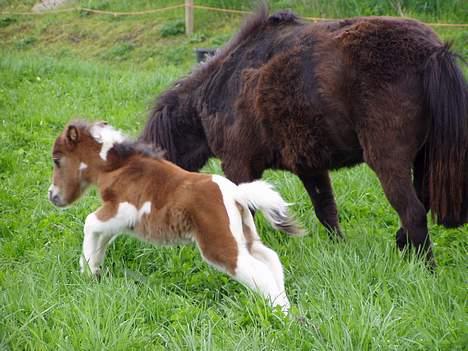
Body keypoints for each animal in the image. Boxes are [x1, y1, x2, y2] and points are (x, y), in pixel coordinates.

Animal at [49, 121, 302, 314]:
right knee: (271, 260)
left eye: (57, 160)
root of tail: (237, 193)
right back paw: (288, 311)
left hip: (219, 244)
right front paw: (93, 273)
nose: (52, 196)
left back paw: (279, 316)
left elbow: (90, 222)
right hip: (245, 236)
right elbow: (101, 237)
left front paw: (85, 271)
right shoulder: (117, 220)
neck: (119, 167)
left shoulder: (123, 210)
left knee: (258, 271)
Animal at [140, 4, 468, 266]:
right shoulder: (310, 167)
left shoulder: (238, 166)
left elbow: (245, 214)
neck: (221, 87)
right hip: (424, 159)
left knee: (412, 212)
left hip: (388, 162)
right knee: (421, 203)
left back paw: (424, 269)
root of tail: (432, 51)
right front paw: (340, 251)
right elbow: (327, 211)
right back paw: (403, 245)